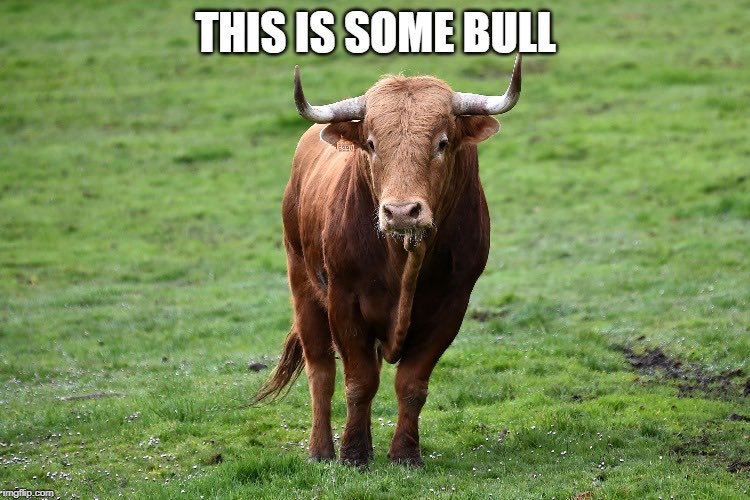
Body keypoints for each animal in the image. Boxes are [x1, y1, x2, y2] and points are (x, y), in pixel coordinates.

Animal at [254, 55, 523, 467]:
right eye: (371, 144)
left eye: (442, 143)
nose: (400, 212)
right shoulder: (344, 301)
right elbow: (359, 381)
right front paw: (353, 453)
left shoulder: (452, 305)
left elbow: (411, 383)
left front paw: (405, 453)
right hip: (302, 284)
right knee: (321, 372)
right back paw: (321, 449)